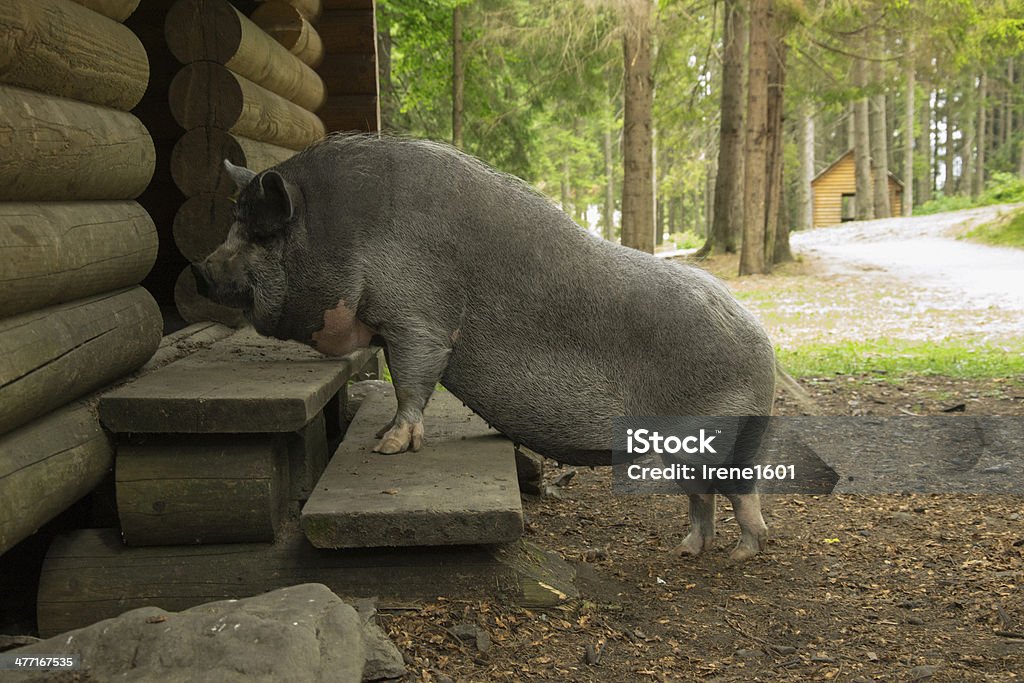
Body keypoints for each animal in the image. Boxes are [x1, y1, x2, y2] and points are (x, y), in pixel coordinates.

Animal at [193, 135, 774, 561]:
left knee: (744, 496)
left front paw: (387, 447)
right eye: (234, 225)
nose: (199, 269)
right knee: (702, 499)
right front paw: (381, 437)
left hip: (724, 434)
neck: (347, 231)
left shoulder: (418, 316)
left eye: (261, 235)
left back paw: (742, 554)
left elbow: (415, 374)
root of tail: (763, 339)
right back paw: (687, 549)